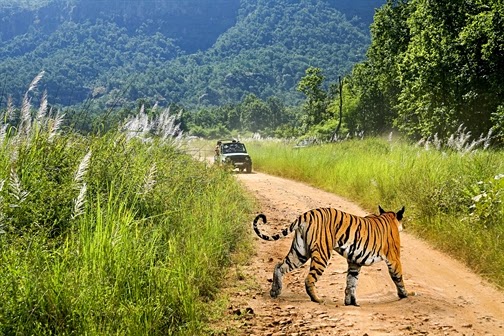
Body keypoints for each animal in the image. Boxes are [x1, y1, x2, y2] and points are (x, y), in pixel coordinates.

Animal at [252, 203, 410, 306]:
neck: (389, 218)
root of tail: (306, 214)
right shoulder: (394, 259)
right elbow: (398, 278)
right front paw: (405, 295)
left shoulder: (354, 262)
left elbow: (351, 282)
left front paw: (350, 302)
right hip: (322, 254)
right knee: (309, 279)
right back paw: (317, 299)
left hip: (299, 252)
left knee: (279, 266)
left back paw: (275, 291)